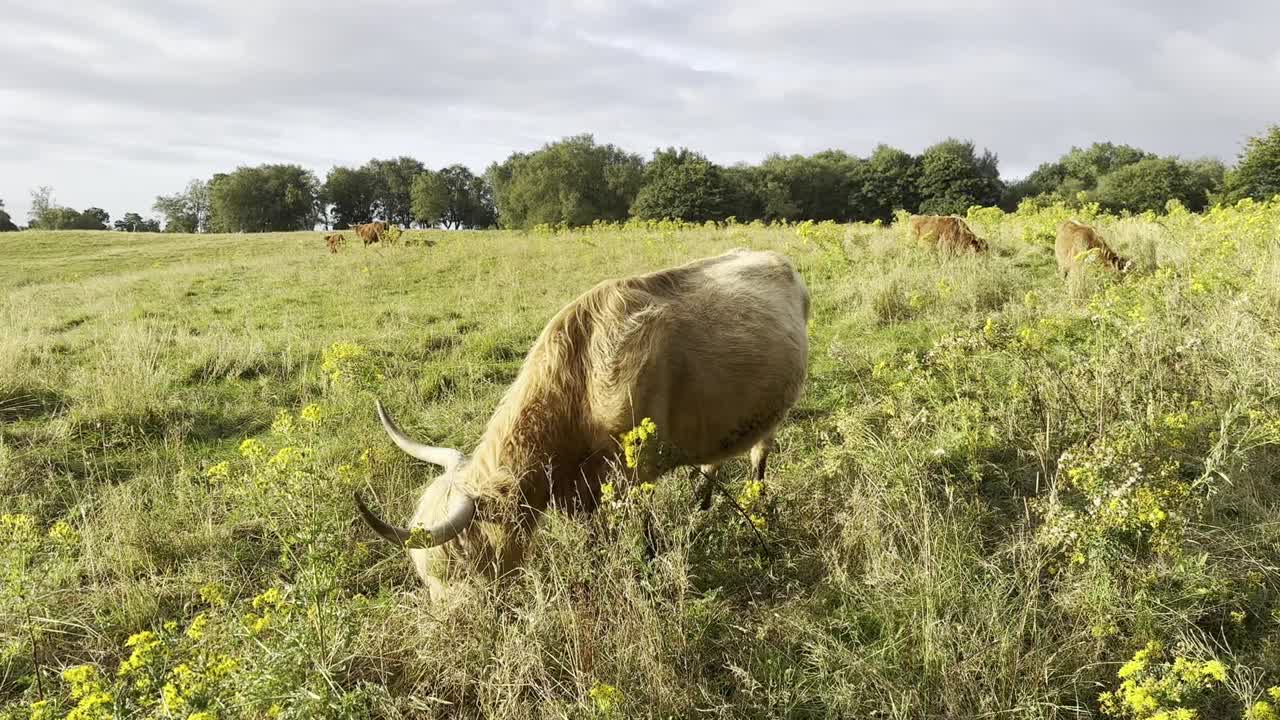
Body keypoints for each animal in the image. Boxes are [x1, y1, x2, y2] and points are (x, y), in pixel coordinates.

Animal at [350, 245, 808, 594]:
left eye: (463, 565)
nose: (451, 622)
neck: (580, 379)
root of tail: (775, 257)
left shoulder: (637, 467)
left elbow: (644, 532)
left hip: (777, 409)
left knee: (759, 454)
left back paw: (754, 501)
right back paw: (701, 502)